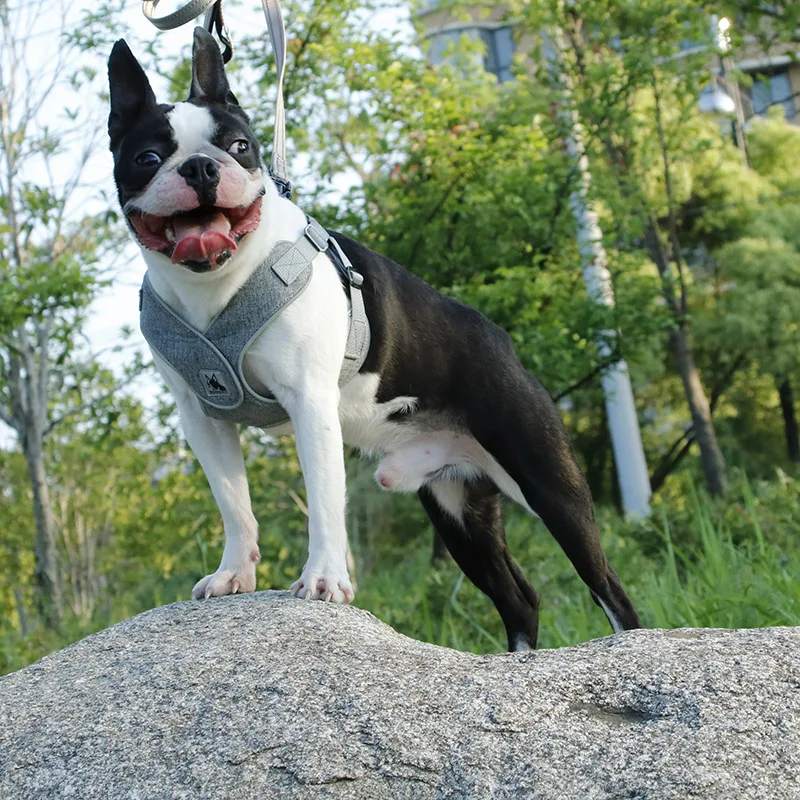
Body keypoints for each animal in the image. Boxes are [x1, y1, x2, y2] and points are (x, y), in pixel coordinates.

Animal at [108, 29, 644, 648]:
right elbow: (234, 503)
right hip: (458, 511)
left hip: (548, 483)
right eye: (148, 158)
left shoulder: (310, 404)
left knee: (607, 585)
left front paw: (323, 581)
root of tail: (503, 343)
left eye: (240, 147)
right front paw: (233, 574)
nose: (199, 168)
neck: (216, 284)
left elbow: (323, 501)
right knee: (519, 598)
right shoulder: (204, 418)